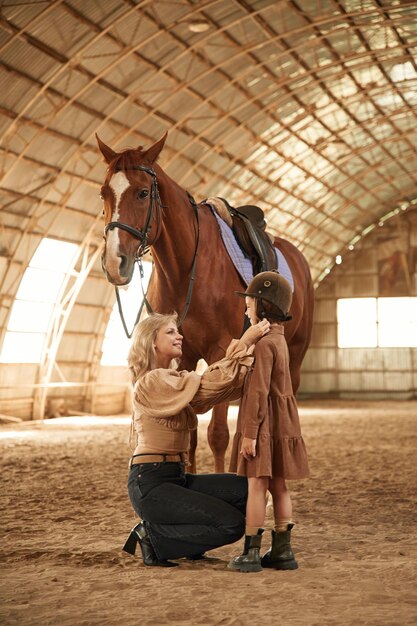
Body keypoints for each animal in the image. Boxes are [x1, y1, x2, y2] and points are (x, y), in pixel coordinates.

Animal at [96, 134, 312, 470]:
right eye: (103, 193)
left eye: (143, 193)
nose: (114, 263)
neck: (185, 271)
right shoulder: (181, 355)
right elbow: (189, 432)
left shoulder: (220, 350)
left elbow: (218, 435)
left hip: (297, 351)